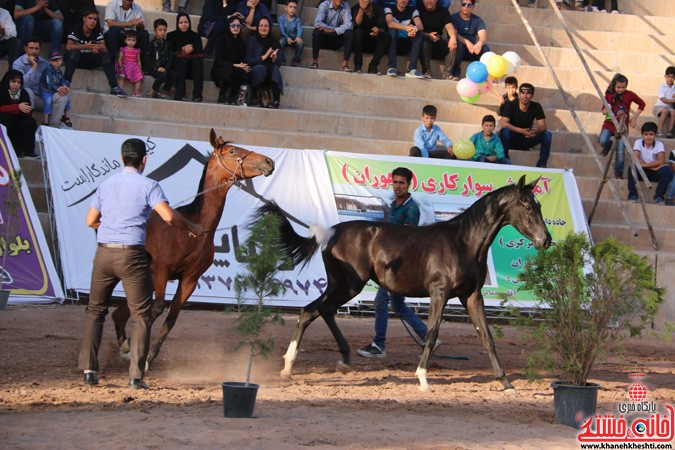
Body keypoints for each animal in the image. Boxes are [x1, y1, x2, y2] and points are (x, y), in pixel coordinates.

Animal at [113, 128, 274, 368]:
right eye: (232, 151)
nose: (268, 161)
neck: (192, 229)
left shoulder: (190, 279)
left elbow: (171, 317)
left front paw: (149, 356)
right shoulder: (161, 271)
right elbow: (156, 309)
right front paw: (142, 356)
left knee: (119, 314)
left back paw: (124, 346)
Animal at [262, 175, 552, 390]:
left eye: (539, 206)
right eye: (528, 206)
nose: (546, 240)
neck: (463, 243)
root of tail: (329, 231)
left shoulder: (471, 295)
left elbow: (487, 337)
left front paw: (506, 383)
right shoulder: (439, 293)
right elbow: (432, 333)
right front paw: (423, 379)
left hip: (339, 285)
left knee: (315, 310)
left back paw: (324, 361)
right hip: (349, 285)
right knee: (316, 310)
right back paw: (299, 364)